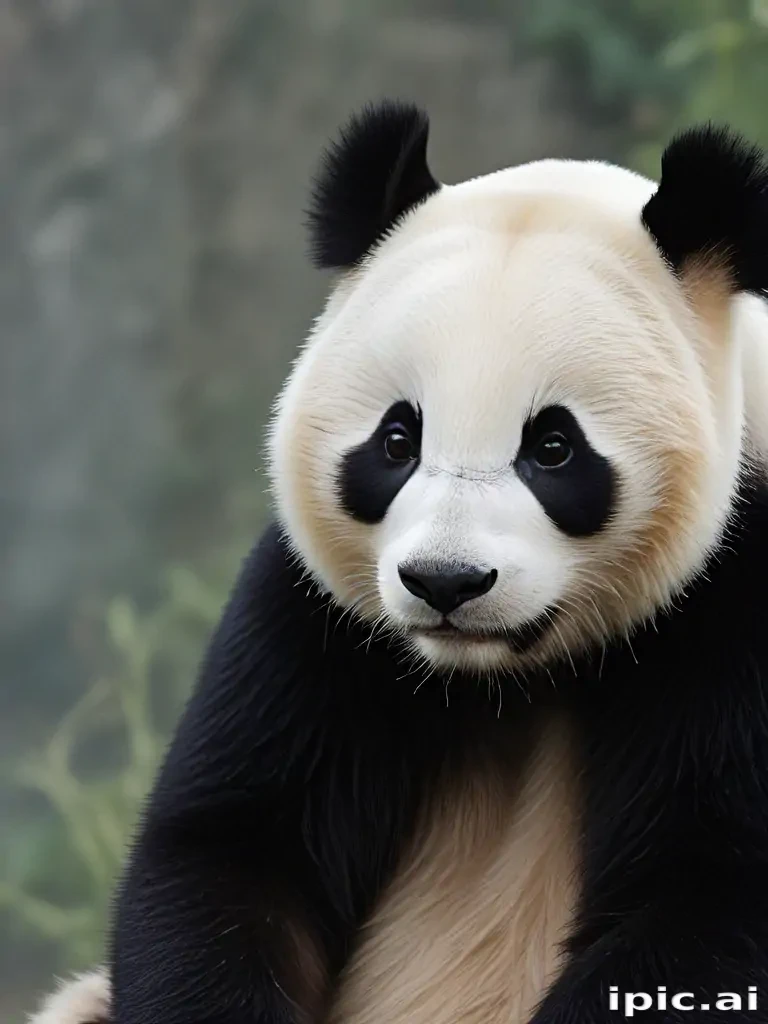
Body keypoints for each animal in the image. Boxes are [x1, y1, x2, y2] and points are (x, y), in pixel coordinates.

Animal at [31, 100, 768, 1024]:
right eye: (396, 439)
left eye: (553, 447)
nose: (446, 582)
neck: (506, 680)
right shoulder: (318, 617)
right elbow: (231, 852)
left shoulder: (740, 595)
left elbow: (705, 899)